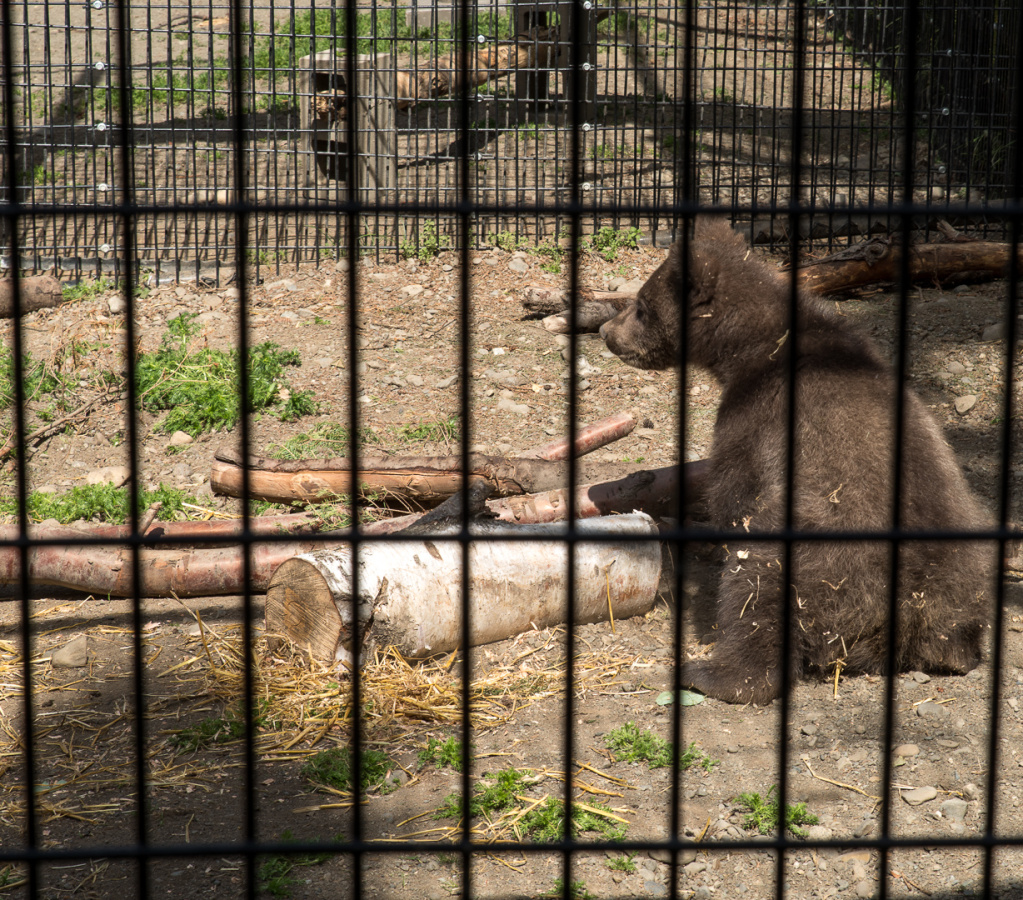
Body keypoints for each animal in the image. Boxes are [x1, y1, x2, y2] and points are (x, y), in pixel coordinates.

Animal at [599, 216, 994, 704]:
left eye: (640, 306)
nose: (606, 332)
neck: (750, 346)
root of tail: (911, 616)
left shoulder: (757, 416)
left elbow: (734, 496)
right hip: (963, 552)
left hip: (818, 558)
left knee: (757, 592)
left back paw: (708, 673)